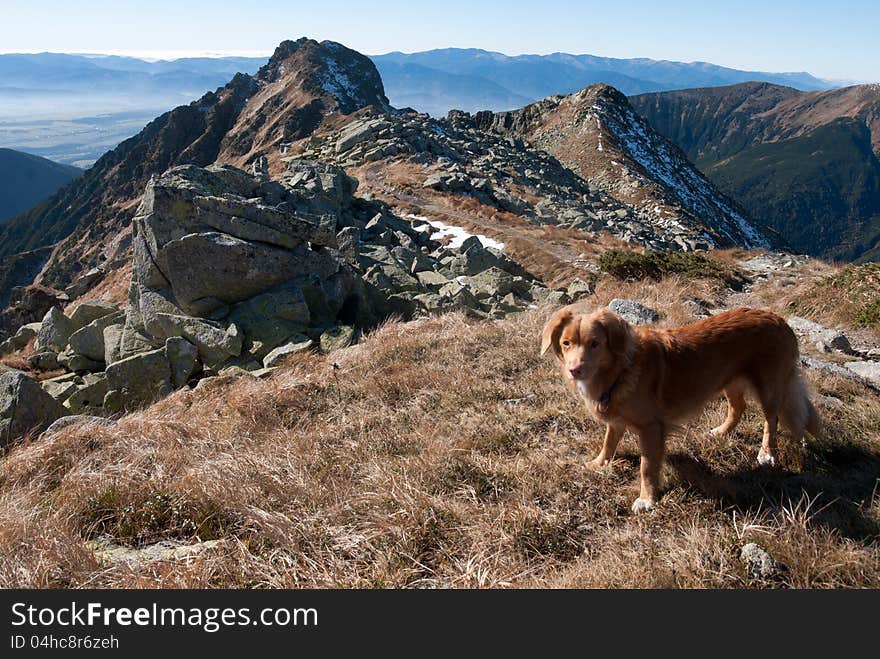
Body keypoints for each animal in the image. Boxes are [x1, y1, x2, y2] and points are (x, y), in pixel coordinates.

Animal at [540, 306, 820, 512]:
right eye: (566, 343)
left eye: (595, 343)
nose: (574, 370)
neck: (620, 370)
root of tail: (779, 319)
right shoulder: (616, 419)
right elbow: (609, 442)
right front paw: (599, 463)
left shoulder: (651, 428)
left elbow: (647, 466)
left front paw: (647, 499)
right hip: (728, 380)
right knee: (737, 407)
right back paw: (721, 432)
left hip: (769, 387)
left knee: (771, 419)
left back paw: (766, 453)